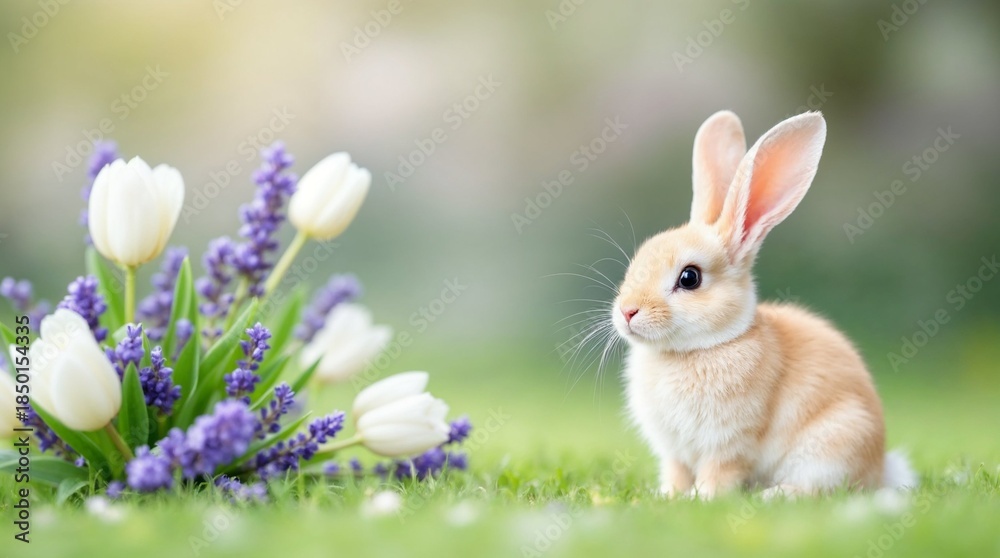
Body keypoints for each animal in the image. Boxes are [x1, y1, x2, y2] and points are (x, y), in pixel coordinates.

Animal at [611, 110, 916, 498]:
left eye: (689, 278)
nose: (627, 312)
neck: (698, 349)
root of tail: (879, 468)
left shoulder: (729, 444)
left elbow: (719, 473)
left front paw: (701, 498)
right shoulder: (675, 452)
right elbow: (676, 473)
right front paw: (668, 496)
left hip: (833, 445)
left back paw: (775, 495)